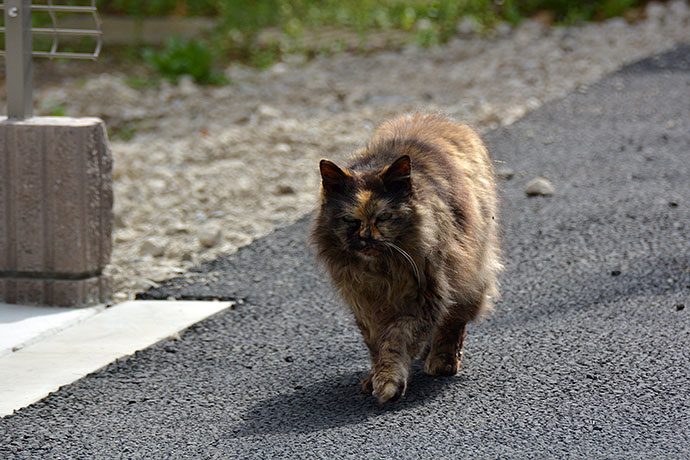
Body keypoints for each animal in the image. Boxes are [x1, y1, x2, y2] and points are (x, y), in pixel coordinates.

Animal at [312, 111, 500, 402]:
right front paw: (375, 376)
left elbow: (396, 341)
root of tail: (437, 116)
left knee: (454, 320)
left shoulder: (425, 295)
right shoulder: (364, 303)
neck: (381, 272)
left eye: (385, 217)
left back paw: (442, 362)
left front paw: (388, 382)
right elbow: (376, 343)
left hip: (468, 270)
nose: (366, 237)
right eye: (351, 220)